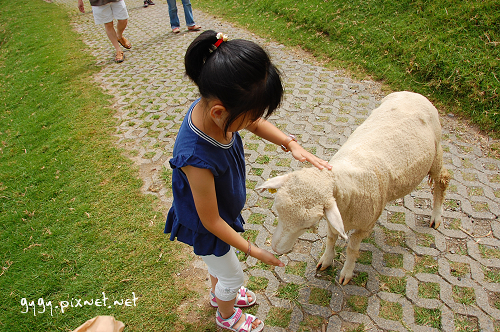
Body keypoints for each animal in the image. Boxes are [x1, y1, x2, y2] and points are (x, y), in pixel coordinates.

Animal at [258, 91, 450, 286]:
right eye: (278, 212)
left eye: (309, 226)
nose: (276, 249)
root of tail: (413, 93)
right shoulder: (334, 217)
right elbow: (331, 238)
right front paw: (326, 259)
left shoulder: (364, 227)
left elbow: (351, 249)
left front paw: (346, 272)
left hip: (436, 154)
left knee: (442, 180)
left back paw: (436, 216)